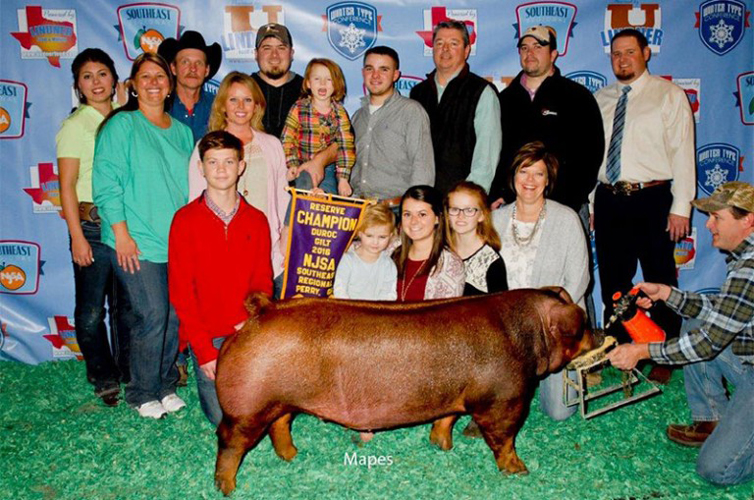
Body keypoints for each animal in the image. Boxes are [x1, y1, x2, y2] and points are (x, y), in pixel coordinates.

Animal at [213, 287, 599, 496]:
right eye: (581, 325)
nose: (600, 335)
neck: (529, 334)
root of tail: (262, 310)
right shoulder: (504, 401)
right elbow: (503, 438)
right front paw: (520, 470)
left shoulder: (454, 396)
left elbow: (446, 419)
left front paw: (443, 446)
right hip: (247, 407)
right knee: (229, 441)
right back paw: (227, 488)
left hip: (282, 402)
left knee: (279, 425)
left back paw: (293, 456)